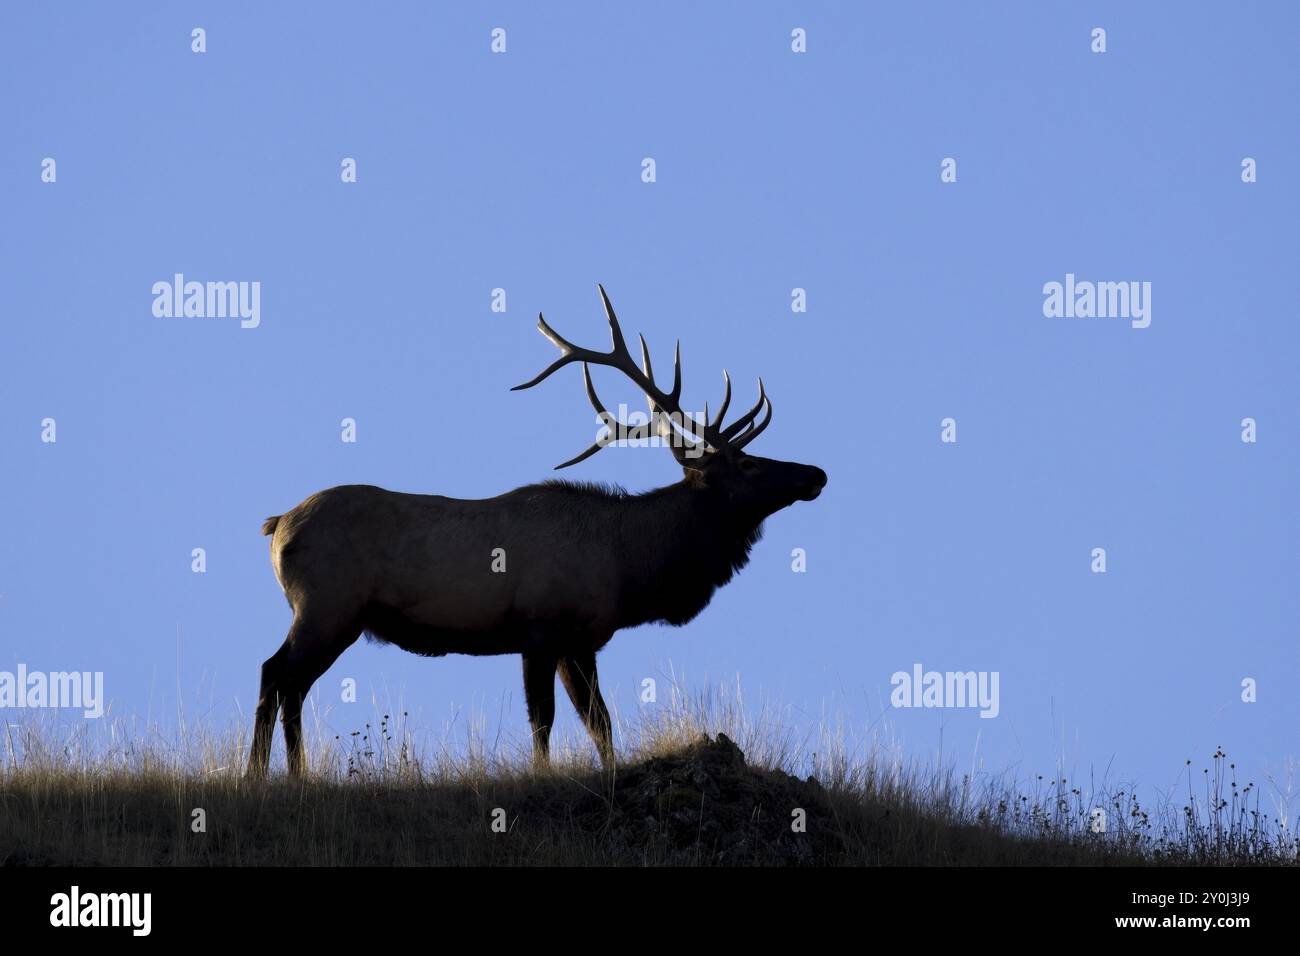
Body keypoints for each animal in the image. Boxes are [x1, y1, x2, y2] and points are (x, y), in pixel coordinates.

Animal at [248, 283, 826, 780]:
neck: (630, 567)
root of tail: (277, 526)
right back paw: (258, 773)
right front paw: (542, 774)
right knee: (275, 673)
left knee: (292, 685)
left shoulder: (582, 642)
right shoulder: (542, 627)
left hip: (337, 616)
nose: (816, 474)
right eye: (747, 464)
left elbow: (600, 723)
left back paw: (294, 774)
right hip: (328, 604)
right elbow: (544, 719)